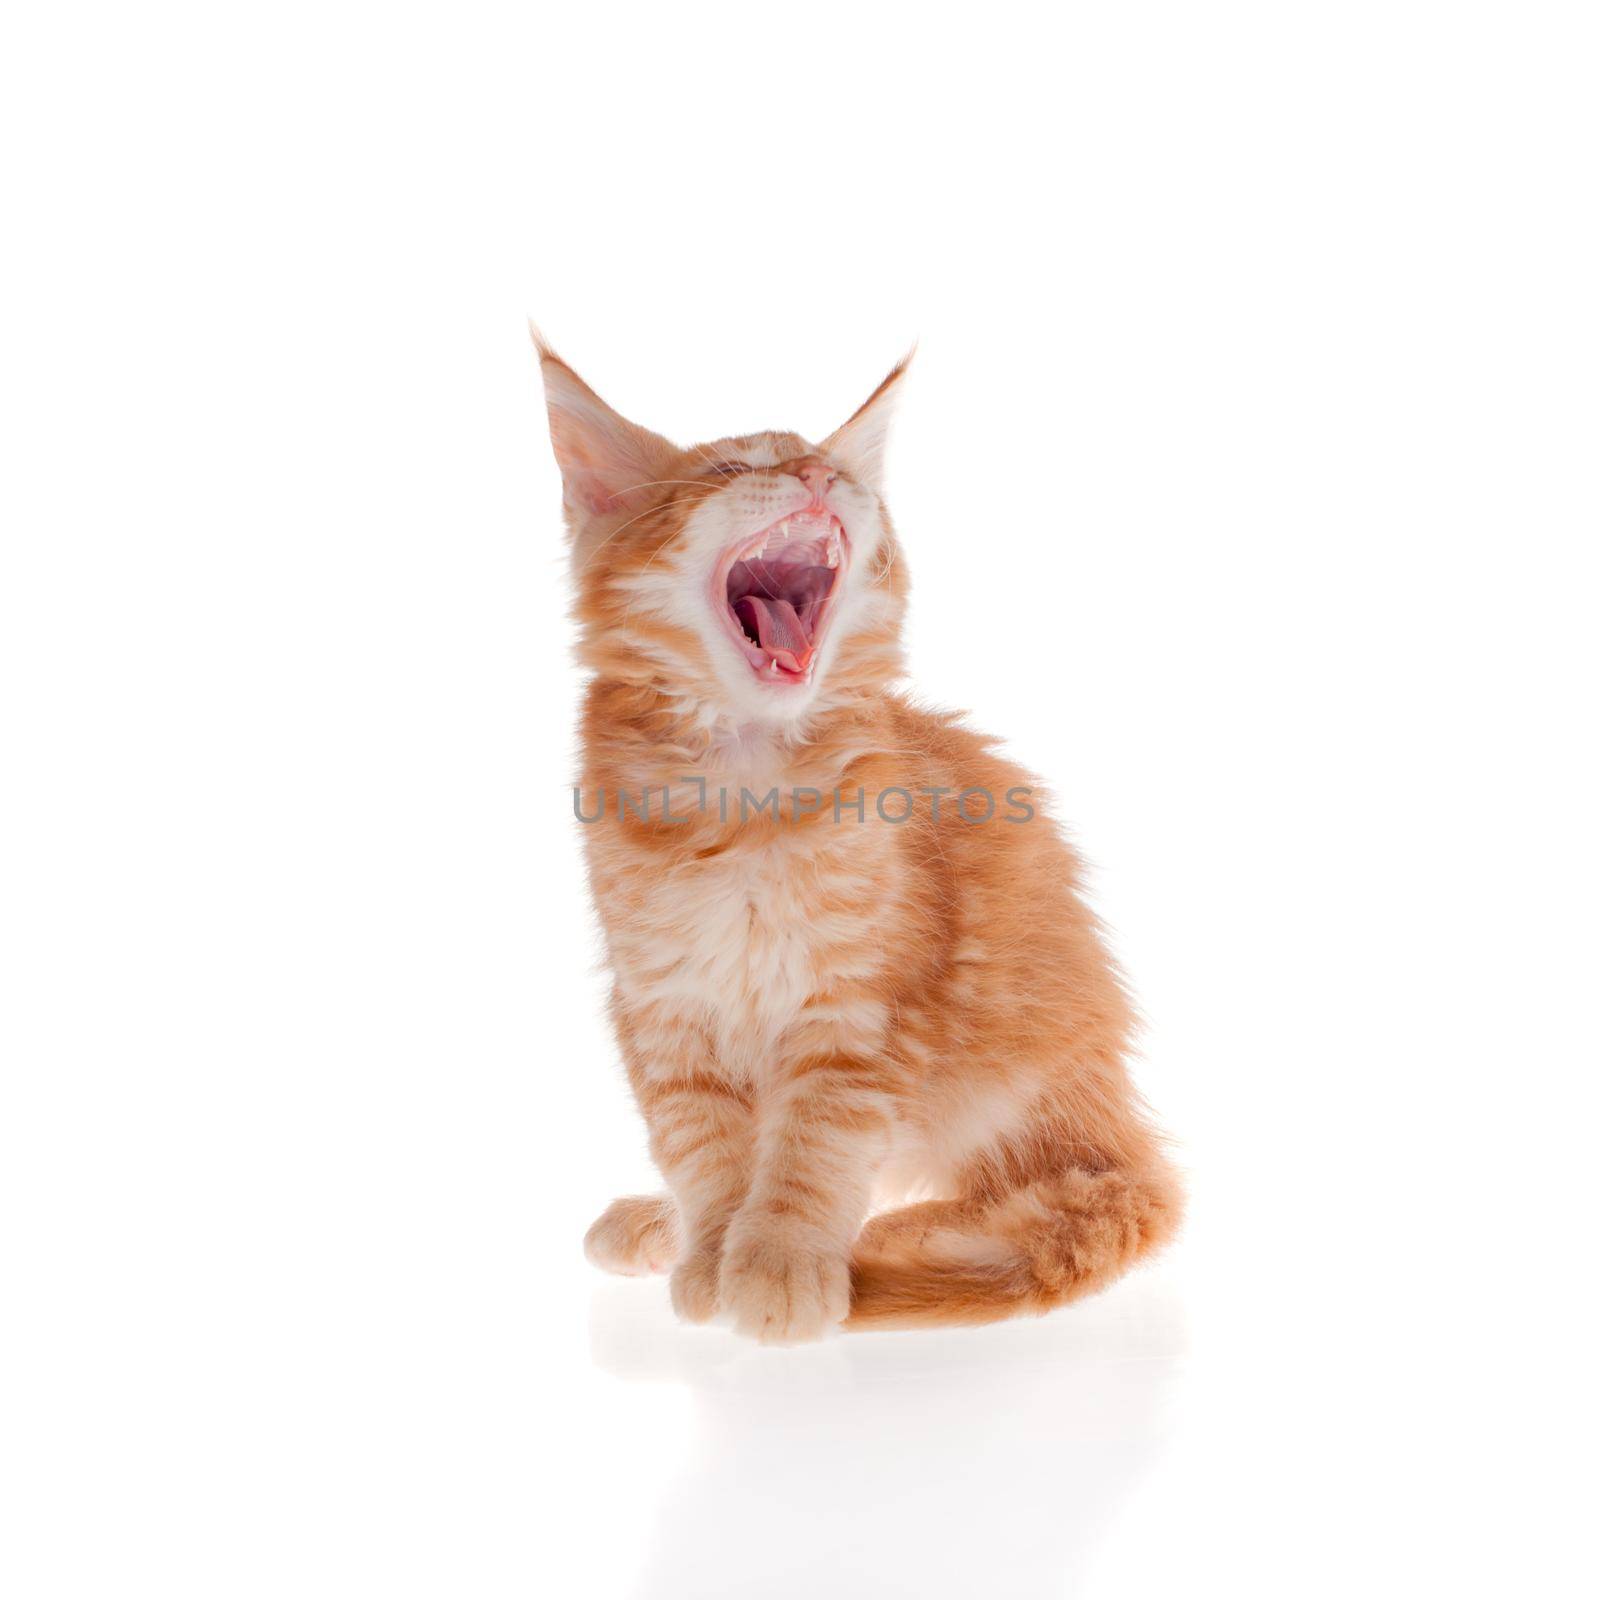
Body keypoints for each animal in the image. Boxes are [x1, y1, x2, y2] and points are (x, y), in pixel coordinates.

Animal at [544, 344, 1184, 1344]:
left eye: (834, 471)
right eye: (732, 469)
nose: (816, 478)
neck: (749, 791)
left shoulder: (868, 1005)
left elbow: (815, 1146)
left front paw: (779, 1268)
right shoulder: (662, 1005)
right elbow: (705, 1147)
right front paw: (711, 1256)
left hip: (1017, 1081)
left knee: (1042, 1188)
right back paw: (662, 1224)